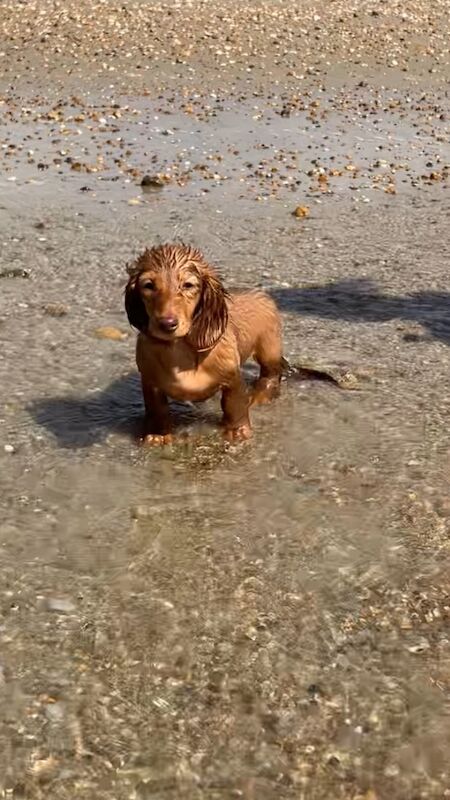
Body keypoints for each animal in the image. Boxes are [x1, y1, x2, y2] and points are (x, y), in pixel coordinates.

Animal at [125, 244, 284, 444]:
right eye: (148, 285)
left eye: (188, 285)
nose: (167, 324)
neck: (179, 349)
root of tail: (260, 293)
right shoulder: (150, 381)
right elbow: (156, 410)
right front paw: (157, 435)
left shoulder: (232, 378)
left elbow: (234, 404)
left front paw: (237, 431)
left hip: (269, 348)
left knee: (271, 374)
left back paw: (260, 394)